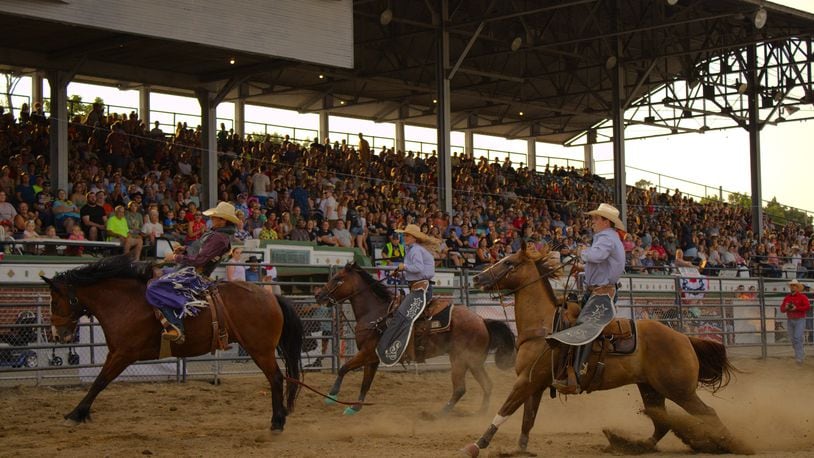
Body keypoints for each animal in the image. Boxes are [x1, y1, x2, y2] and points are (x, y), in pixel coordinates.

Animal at [41, 256, 304, 432]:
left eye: (54, 301)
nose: (57, 334)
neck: (124, 302)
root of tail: (272, 297)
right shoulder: (116, 353)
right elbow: (99, 381)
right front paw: (79, 412)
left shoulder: (122, 354)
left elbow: (100, 382)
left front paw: (76, 413)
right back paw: (279, 417)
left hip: (260, 349)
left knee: (276, 378)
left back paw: (277, 421)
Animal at [314, 262, 516, 416]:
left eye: (337, 279)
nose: (318, 295)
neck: (376, 314)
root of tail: (482, 321)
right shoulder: (373, 359)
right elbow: (365, 384)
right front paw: (354, 408)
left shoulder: (367, 353)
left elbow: (343, 368)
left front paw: (331, 396)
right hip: (473, 362)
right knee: (487, 385)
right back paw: (480, 413)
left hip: (460, 360)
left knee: (460, 388)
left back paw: (440, 413)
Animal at [462, 247, 756, 458]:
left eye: (509, 262)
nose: (476, 277)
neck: (544, 325)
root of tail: (684, 338)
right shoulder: (536, 383)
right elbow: (527, 419)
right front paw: (520, 449)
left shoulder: (526, 381)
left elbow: (505, 410)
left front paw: (476, 445)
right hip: (651, 389)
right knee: (662, 423)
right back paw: (631, 445)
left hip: (679, 390)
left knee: (708, 414)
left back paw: (734, 445)